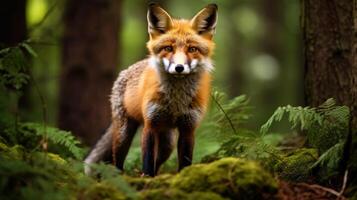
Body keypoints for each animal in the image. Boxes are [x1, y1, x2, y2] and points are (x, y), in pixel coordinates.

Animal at [84, 2, 217, 176]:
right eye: (168, 48)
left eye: (192, 49)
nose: (179, 68)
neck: (176, 101)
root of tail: (128, 69)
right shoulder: (150, 124)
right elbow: (147, 159)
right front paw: (146, 177)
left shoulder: (188, 128)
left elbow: (185, 161)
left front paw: (184, 176)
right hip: (124, 134)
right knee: (116, 161)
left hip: (167, 143)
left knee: (157, 162)